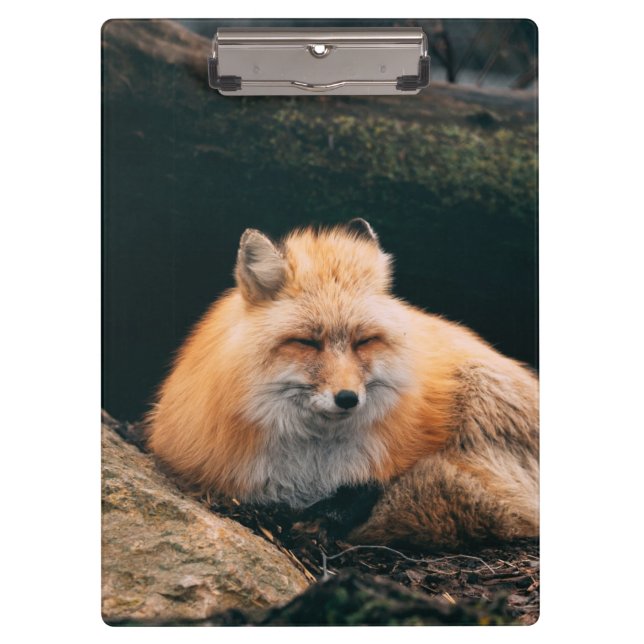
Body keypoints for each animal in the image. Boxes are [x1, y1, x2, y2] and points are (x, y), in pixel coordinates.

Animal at [147, 219, 539, 548]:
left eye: (363, 341)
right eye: (307, 342)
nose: (348, 398)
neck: (312, 466)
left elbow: (367, 488)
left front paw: (326, 518)